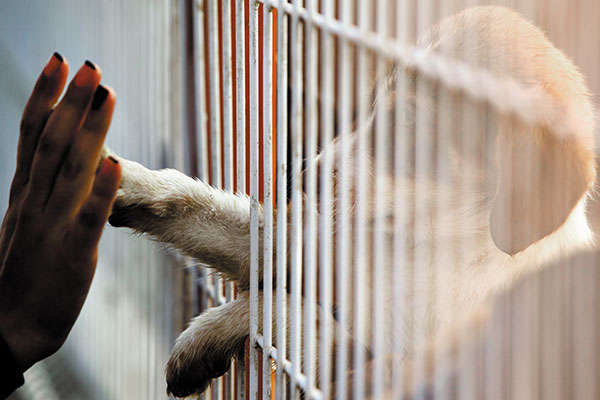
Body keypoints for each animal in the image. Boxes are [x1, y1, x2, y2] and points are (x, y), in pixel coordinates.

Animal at [101, 5, 592, 396]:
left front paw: (210, 333)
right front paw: (121, 180)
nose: (300, 177)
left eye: (409, 118)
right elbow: (207, 209)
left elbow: (288, 311)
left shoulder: (378, 369)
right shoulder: (321, 246)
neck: (429, 247)